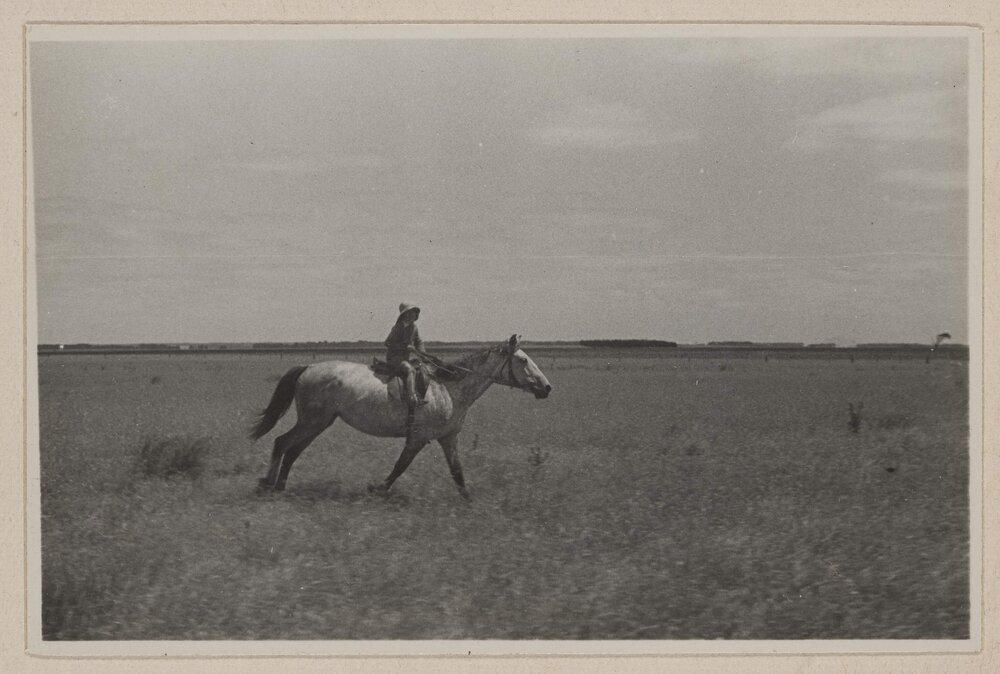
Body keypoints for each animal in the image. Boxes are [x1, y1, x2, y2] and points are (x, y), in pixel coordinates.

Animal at [250, 334, 552, 498]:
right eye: (523, 360)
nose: (547, 387)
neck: (449, 389)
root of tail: (308, 367)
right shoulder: (418, 438)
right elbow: (399, 467)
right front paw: (377, 489)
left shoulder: (448, 439)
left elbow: (458, 473)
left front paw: (469, 501)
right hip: (313, 421)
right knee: (282, 443)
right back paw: (267, 485)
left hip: (319, 423)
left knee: (292, 450)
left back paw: (279, 485)